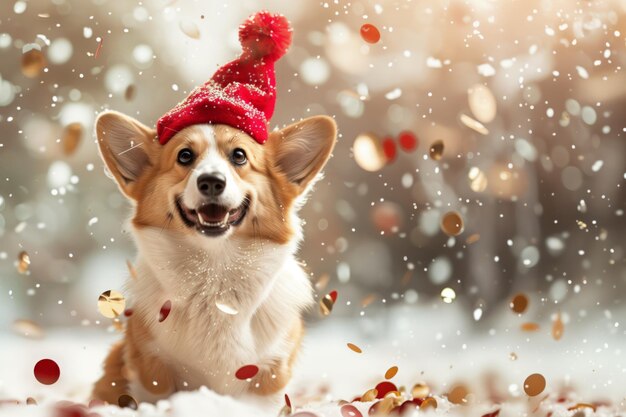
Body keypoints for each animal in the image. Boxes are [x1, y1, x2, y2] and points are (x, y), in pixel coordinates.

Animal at [89, 9, 334, 404]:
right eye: (184, 156)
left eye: (240, 156)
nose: (211, 182)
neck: (215, 274)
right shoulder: (151, 367)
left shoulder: (269, 375)